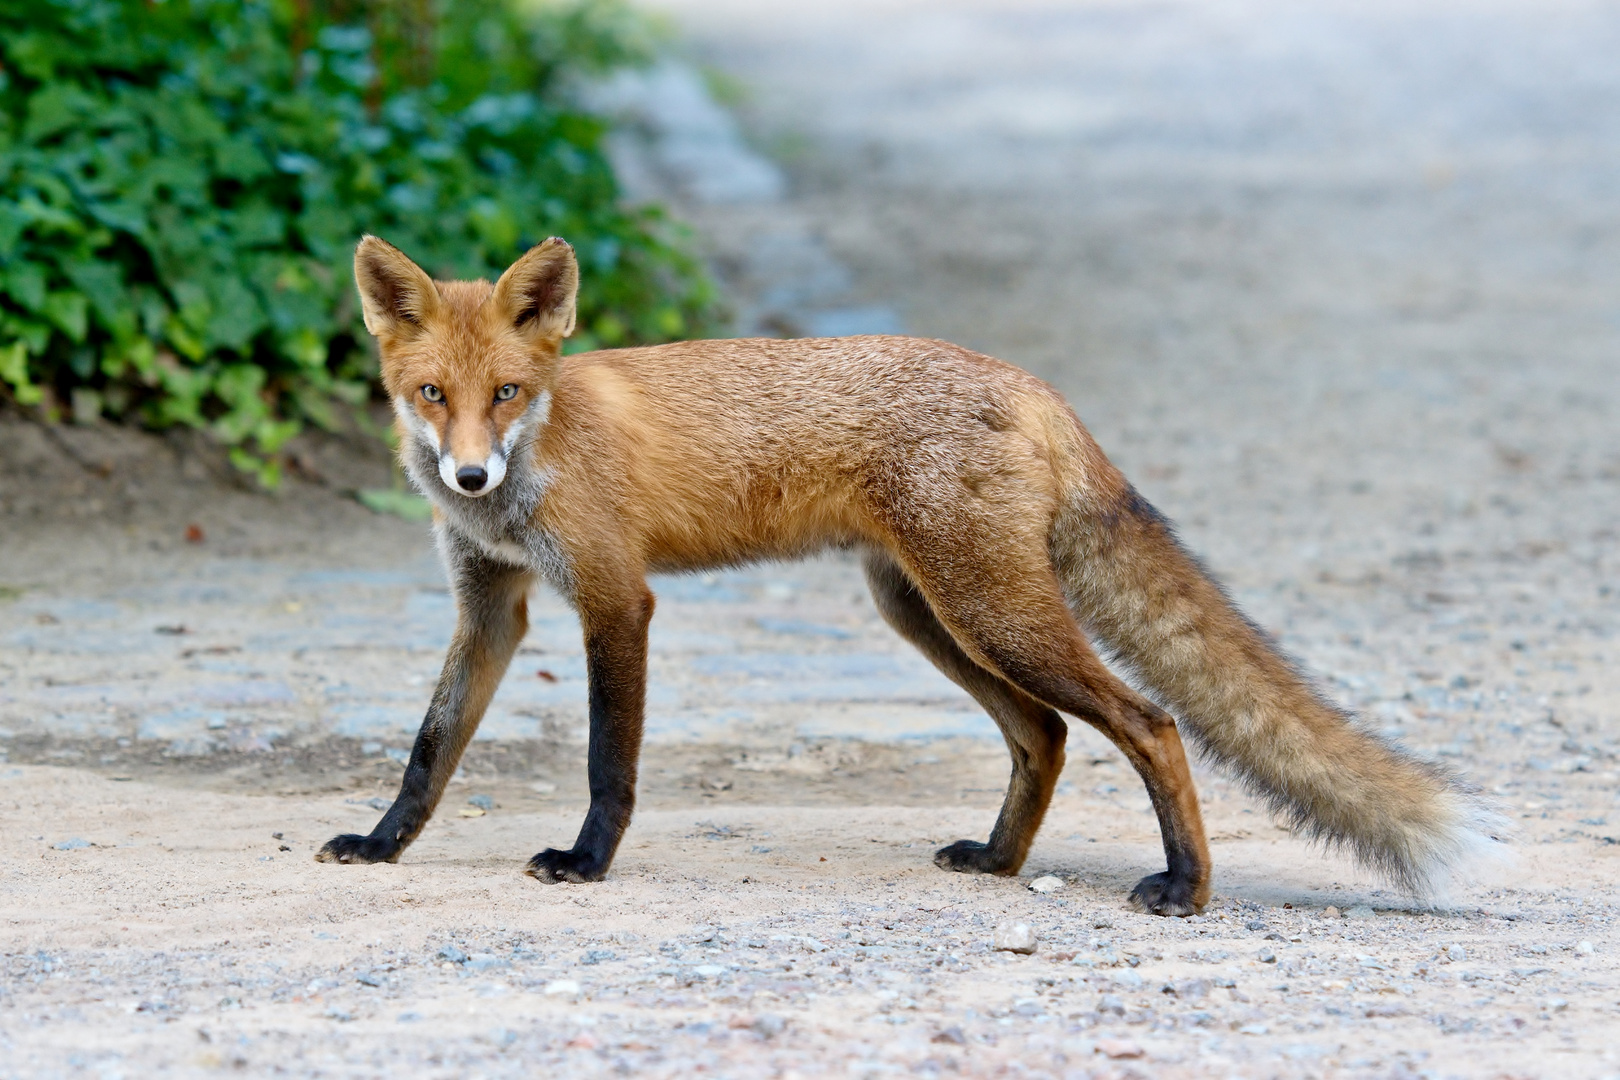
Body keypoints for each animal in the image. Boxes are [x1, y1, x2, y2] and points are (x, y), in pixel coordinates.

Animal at [319, 234, 1503, 913]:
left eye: (508, 393)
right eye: (431, 394)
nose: (470, 474)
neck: (543, 451)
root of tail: (1031, 384)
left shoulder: (617, 598)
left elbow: (610, 761)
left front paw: (587, 863)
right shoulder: (491, 608)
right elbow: (428, 749)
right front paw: (383, 844)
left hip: (989, 611)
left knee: (1150, 722)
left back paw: (1187, 887)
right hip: (927, 613)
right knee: (1047, 734)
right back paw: (999, 863)